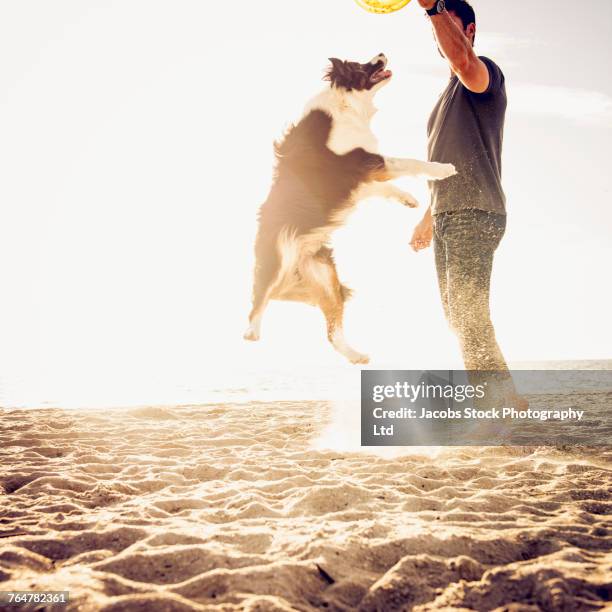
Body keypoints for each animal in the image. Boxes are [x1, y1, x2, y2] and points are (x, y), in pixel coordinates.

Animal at [244, 55, 454, 364]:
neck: (347, 105)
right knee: (258, 300)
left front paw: (407, 199)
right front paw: (444, 169)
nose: (381, 54)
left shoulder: (360, 175)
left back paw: (356, 356)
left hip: (327, 281)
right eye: (360, 66)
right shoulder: (361, 160)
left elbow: (382, 187)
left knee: (331, 333)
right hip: (278, 257)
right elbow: (410, 162)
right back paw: (252, 331)